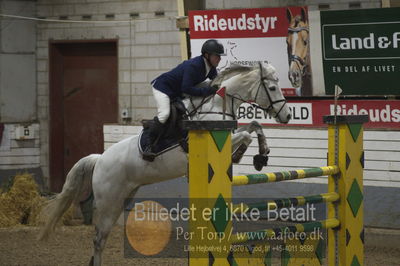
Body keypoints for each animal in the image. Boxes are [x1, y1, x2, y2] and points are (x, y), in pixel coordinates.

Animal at [39, 61, 290, 264]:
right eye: (273, 88)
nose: (286, 117)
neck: (219, 104)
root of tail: (100, 158)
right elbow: (247, 134)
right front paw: (249, 156)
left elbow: (255, 126)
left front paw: (261, 155)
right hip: (109, 201)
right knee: (99, 238)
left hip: (123, 198)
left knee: (102, 237)